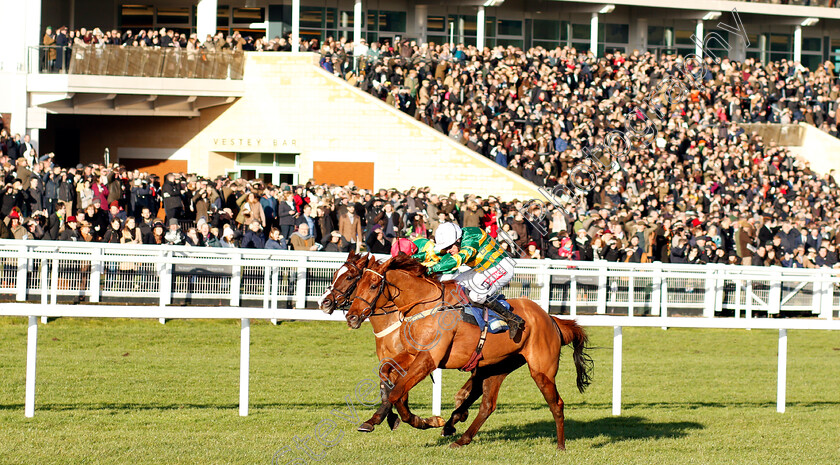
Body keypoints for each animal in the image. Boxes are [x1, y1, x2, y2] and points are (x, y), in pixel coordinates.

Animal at [318, 252, 480, 434]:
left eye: (349, 277)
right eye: (334, 274)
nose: (324, 302)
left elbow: (398, 392)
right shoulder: (390, 360)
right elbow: (386, 386)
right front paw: (387, 418)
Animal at [342, 256, 592, 448]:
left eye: (373, 285)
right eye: (357, 284)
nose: (352, 317)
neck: (425, 305)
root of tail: (551, 319)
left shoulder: (428, 360)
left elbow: (397, 392)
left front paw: (413, 421)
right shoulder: (412, 355)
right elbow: (386, 373)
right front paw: (387, 418)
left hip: (542, 371)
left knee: (556, 403)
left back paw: (561, 445)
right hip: (497, 367)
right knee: (487, 405)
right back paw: (461, 437)